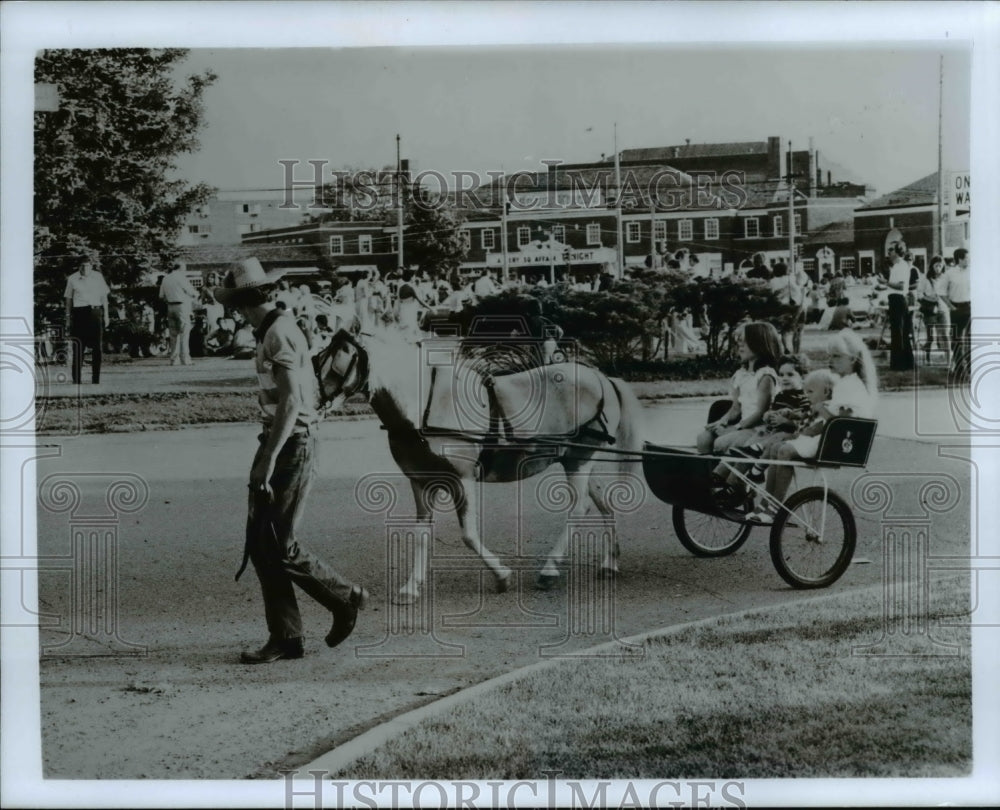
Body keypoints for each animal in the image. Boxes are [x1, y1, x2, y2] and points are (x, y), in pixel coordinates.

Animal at [320, 326, 648, 600]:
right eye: (318, 359)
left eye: (341, 362)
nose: (317, 404)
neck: (425, 404)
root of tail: (601, 377)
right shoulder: (421, 482)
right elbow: (422, 535)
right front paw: (411, 587)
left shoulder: (462, 479)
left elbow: (468, 534)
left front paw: (501, 576)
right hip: (576, 459)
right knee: (601, 502)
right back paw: (610, 562)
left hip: (580, 459)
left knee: (579, 508)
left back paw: (549, 569)